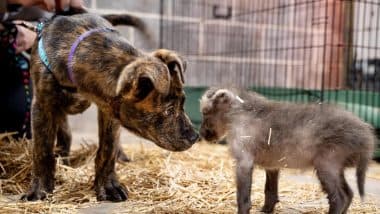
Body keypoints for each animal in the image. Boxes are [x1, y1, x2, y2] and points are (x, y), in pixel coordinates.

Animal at [22, 13, 199, 202]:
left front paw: (108, 187)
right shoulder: (42, 105)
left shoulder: (109, 110)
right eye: (168, 110)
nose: (195, 137)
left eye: (183, 102)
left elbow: (108, 150)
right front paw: (40, 189)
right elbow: (42, 149)